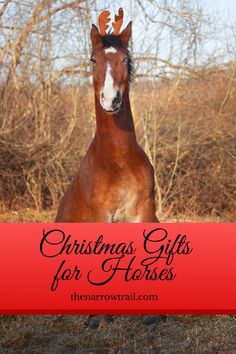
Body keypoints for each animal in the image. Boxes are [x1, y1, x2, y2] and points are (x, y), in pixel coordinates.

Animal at [56, 13, 158, 224]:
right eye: (93, 60)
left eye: (125, 59)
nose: (111, 99)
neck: (119, 156)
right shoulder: (101, 213)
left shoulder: (145, 211)